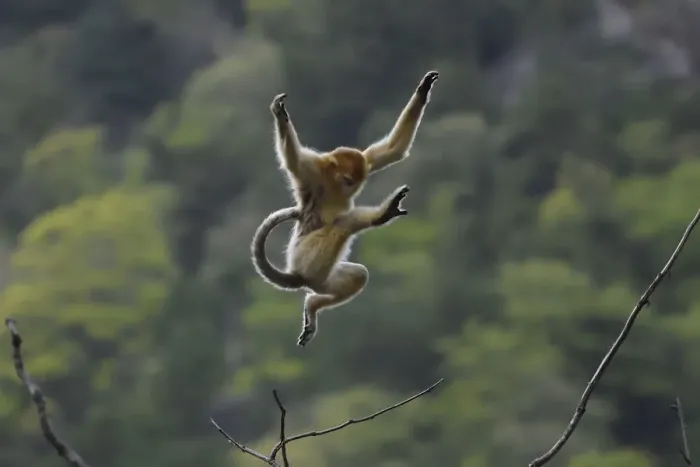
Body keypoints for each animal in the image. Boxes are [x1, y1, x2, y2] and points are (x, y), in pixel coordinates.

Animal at [251, 70, 439, 347]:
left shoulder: (363, 161)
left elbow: (392, 151)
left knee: (357, 274)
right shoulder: (313, 172)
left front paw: (424, 89)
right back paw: (383, 213)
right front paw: (280, 114)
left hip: (326, 278)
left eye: (355, 181)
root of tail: (300, 276)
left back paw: (313, 304)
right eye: (347, 180)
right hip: (306, 258)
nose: (352, 187)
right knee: (344, 224)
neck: (331, 183)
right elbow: (293, 161)